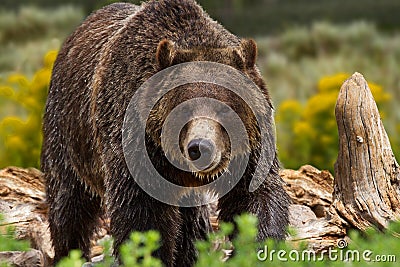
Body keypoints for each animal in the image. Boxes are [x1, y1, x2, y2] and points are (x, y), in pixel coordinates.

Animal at [40, 1, 290, 266]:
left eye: (225, 108)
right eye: (184, 109)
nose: (200, 148)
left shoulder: (249, 149)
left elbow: (254, 197)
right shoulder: (134, 143)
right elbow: (142, 216)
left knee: (192, 221)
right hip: (68, 133)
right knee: (69, 204)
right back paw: (69, 253)